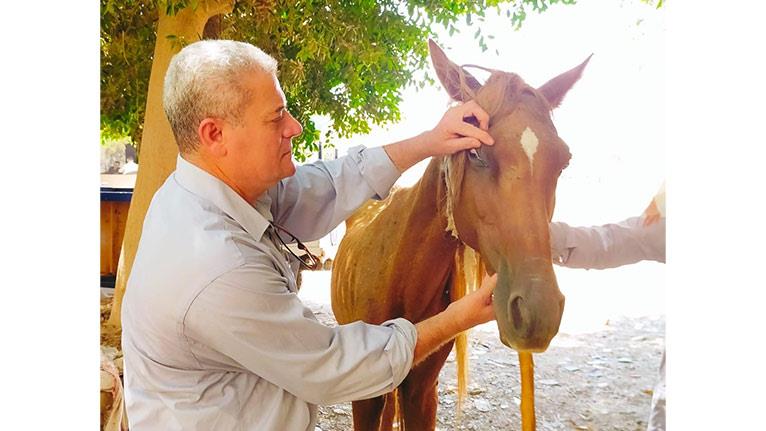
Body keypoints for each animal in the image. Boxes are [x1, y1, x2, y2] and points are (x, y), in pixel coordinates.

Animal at [332, 38, 592, 430]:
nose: (537, 312)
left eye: (563, 162)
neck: (399, 273)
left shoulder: (421, 391)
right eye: (475, 153)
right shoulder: (365, 396)